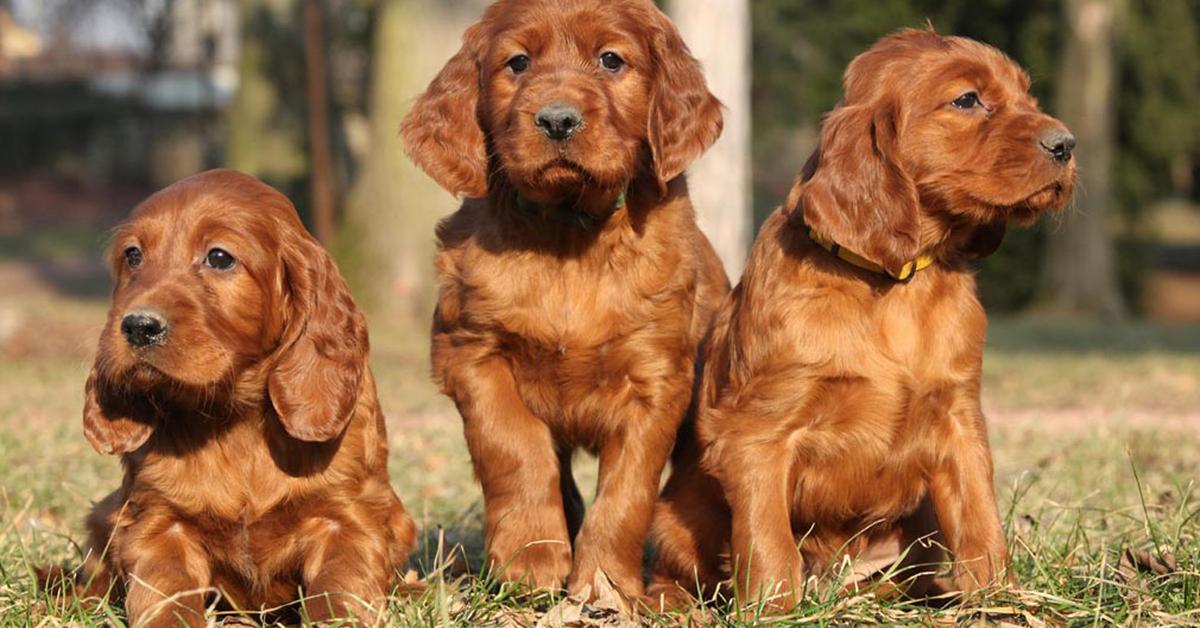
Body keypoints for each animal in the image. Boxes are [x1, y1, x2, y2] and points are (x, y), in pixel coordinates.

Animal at [60, 169, 417, 624]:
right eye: (133, 255)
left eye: (219, 257)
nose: (138, 326)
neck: (234, 417)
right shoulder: (157, 524)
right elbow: (166, 595)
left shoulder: (347, 519)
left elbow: (338, 593)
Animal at [398, 0, 724, 600]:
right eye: (518, 62)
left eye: (611, 60)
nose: (557, 120)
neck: (570, 232)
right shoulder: (472, 354)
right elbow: (514, 448)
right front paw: (531, 559)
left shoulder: (656, 378)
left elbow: (628, 489)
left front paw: (604, 584)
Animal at [652, 30, 1084, 609]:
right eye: (967, 100)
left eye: (1027, 95)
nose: (1067, 144)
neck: (896, 283)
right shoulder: (757, 433)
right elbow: (768, 538)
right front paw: (776, 608)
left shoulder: (959, 418)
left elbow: (980, 517)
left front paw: (1001, 599)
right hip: (677, 516)